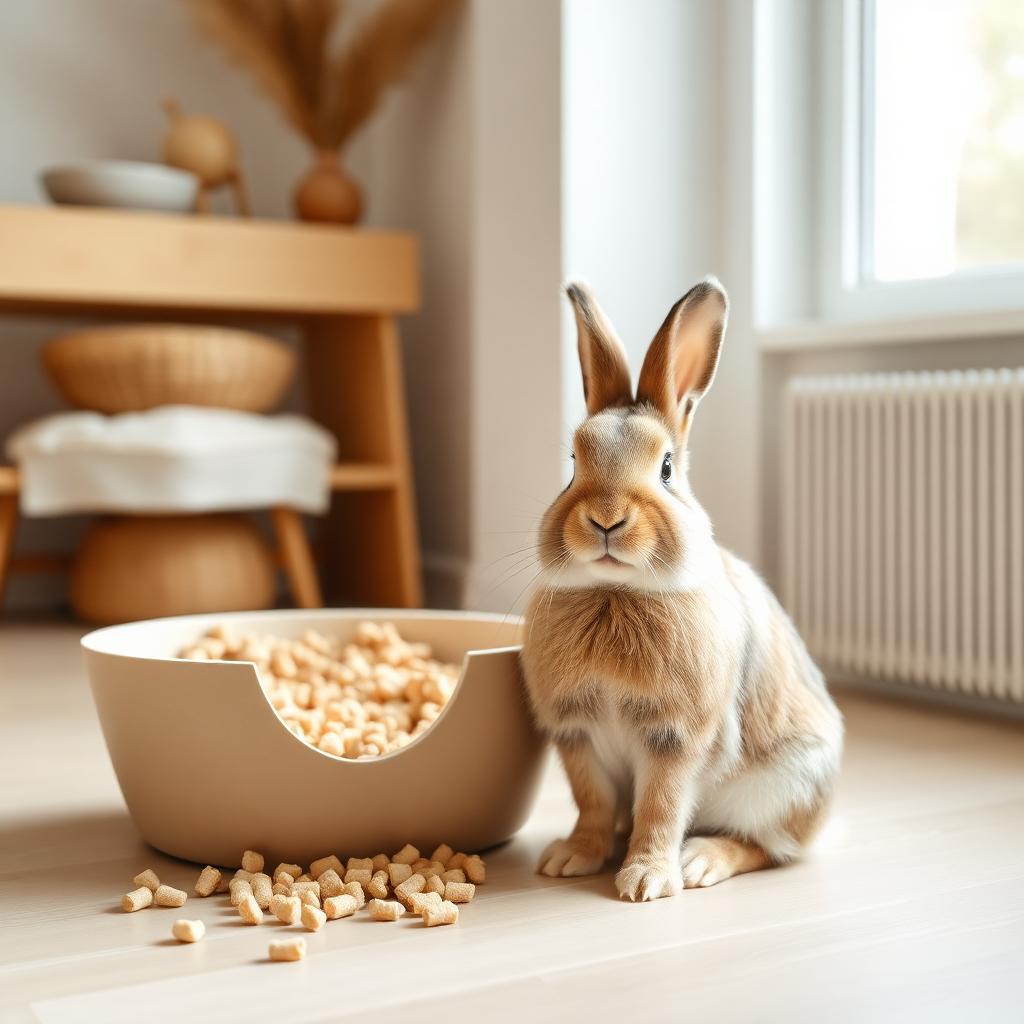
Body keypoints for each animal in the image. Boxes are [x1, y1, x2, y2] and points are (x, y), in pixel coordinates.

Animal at [521, 277, 843, 902]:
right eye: (572, 464)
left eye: (666, 469)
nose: (606, 520)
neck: (615, 592)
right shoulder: (578, 738)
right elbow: (592, 805)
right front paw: (572, 858)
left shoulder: (675, 739)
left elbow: (661, 808)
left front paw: (646, 881)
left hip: (780, 789)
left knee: (765, 848)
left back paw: (699, 863)